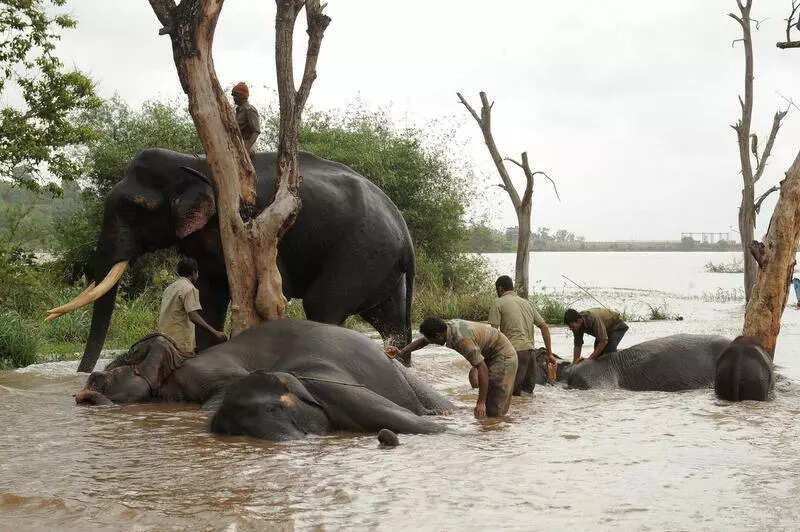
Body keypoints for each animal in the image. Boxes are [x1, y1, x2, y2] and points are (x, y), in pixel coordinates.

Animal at [50, 148, 415, 372]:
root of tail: (405, 233)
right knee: (391, 322)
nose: (83, 375)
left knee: (323, 305)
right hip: (381, 266)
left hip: (361, 253)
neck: (193, 161)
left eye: (134, 208)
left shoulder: (247, 228)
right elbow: (208, 295)